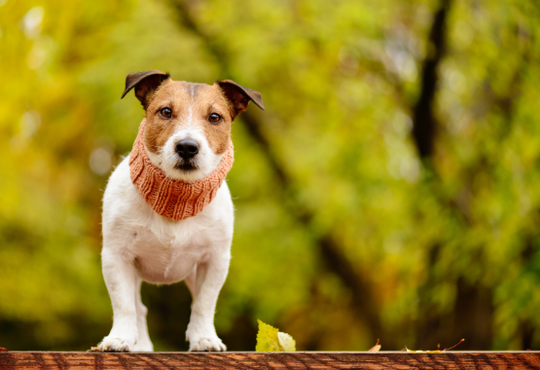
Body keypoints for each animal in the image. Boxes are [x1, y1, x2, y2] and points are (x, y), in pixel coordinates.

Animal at [98, 71, 266, 352]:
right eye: (165, 112)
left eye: (214, 117)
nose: (187, 146)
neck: (177, 198)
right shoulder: (116, 256)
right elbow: (124, 304)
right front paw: (120, 337)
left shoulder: (214, 260)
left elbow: (204, 303)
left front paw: (204, 338)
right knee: (139, 308)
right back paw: (140, 344)